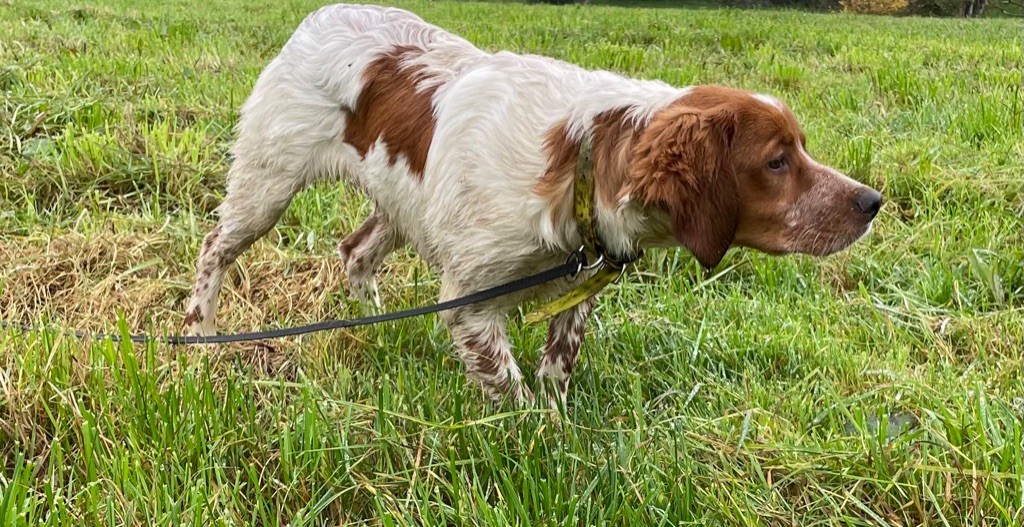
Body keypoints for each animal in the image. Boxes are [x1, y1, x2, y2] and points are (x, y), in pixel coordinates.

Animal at [182, 4, 880, 407]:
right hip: (267, 183)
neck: (582, 163)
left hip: (404, 202)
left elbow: (556, 368)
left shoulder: (578, 284)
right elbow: (511, 391)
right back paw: (200, 339)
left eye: (800, 148)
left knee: (356, 253)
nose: (872, 202)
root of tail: (318, 16)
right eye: (777, 161)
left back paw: (381, 331)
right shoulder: (470, 298)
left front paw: (558, 419)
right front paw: (532, 441)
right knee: (214, 250)